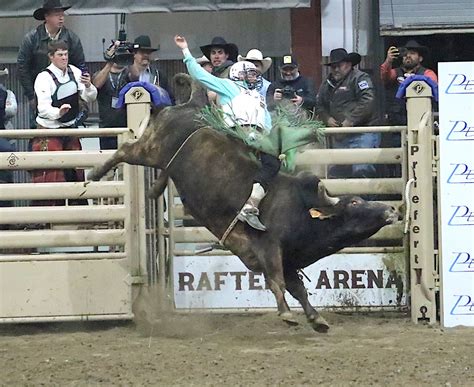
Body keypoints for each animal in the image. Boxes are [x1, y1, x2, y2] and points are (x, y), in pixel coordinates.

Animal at [90, 76, 400, 334]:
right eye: (355, 201)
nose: (392, 209)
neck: (301, 210)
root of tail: (191, 106)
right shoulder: (269, 248)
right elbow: (277, 282)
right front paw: (287, 315)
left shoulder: (289, 260)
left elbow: (298, 289)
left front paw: (316, 319)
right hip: (151, 149)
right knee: (125, 150)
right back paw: (95, 173)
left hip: (162, 159)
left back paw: (152, 190)